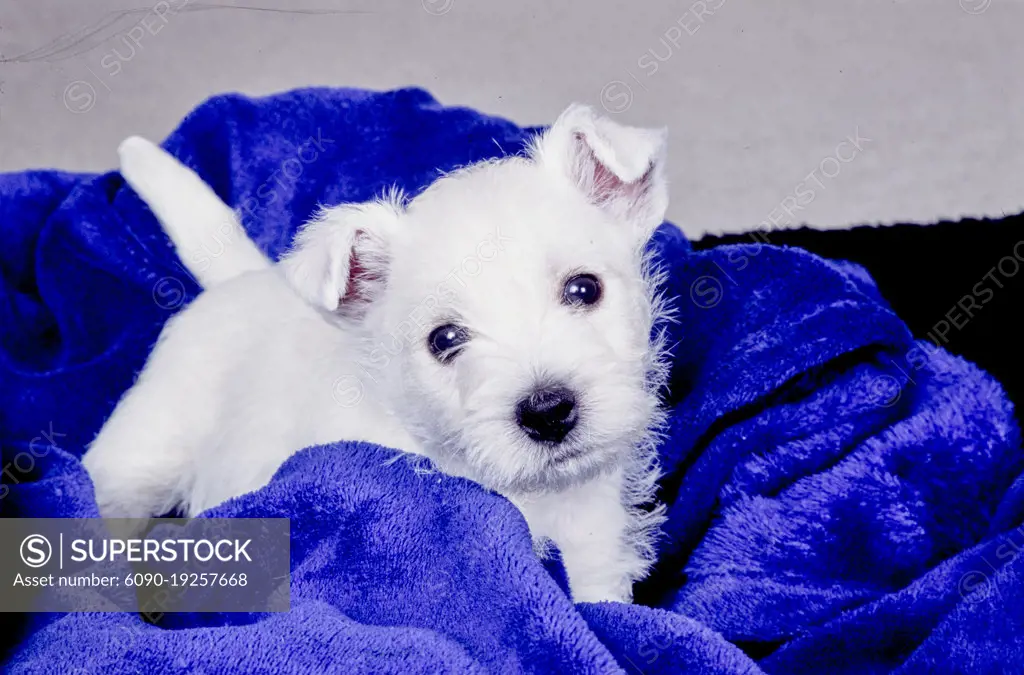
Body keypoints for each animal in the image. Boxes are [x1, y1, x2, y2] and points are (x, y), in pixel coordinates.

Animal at [83, 105, 675, 602]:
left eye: (584, 289)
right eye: (444, 339)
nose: (548, 412)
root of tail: (244, 279)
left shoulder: (596, 553)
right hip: (141, 456)